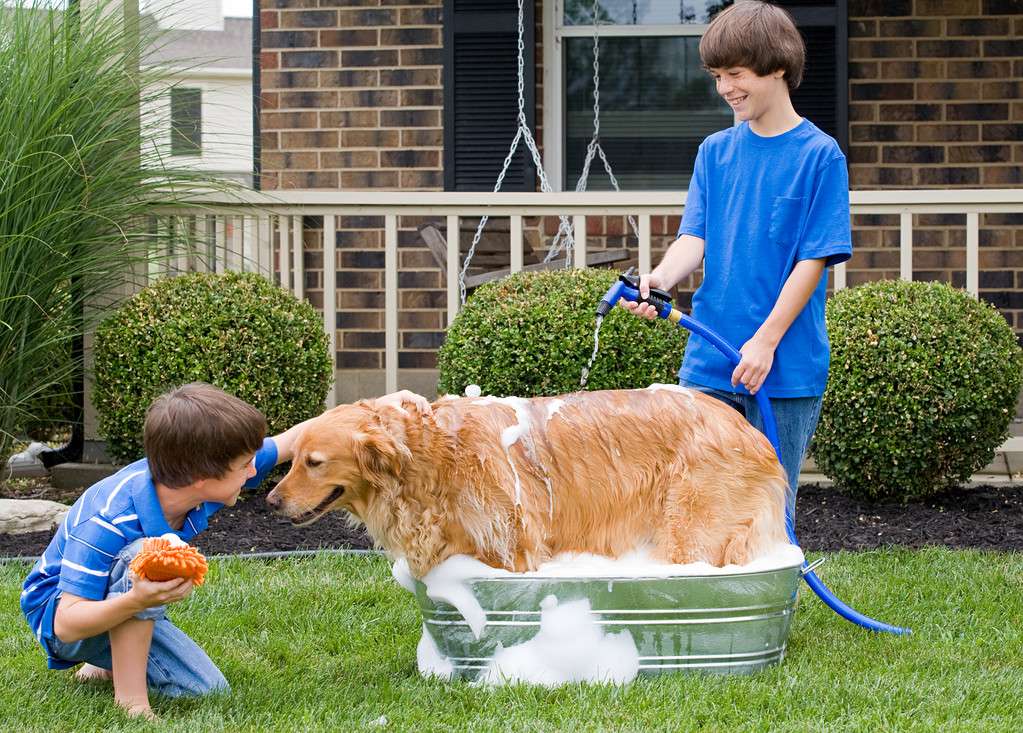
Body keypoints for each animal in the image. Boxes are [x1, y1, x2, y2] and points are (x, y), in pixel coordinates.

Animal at [265, 388, 789, 576]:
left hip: (692, 530)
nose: (269, 501)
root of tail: (752, 432)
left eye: (314, 462)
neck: (434, 455)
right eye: (292, 460)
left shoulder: (515, 549)